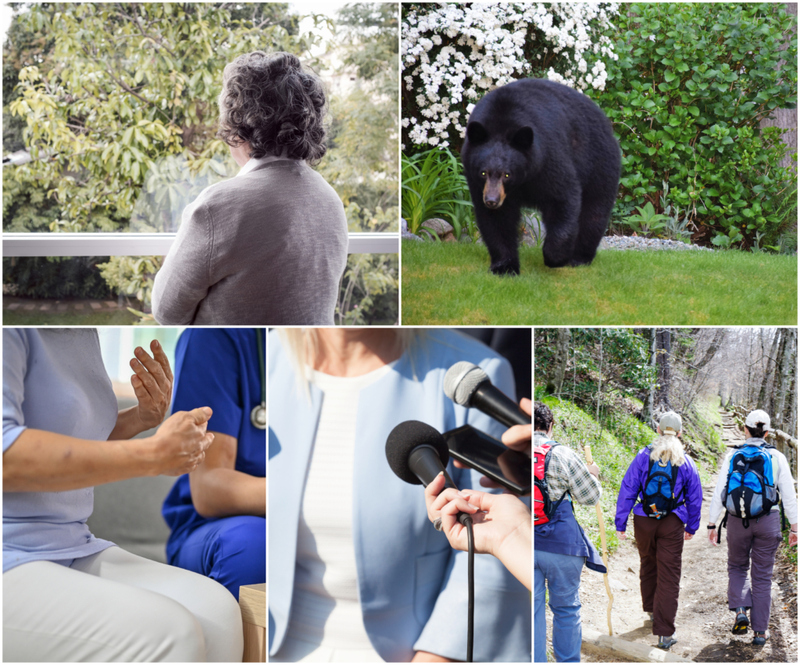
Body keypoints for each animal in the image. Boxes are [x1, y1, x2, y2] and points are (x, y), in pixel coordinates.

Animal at [460, 78, 620, 272]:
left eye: (507, 174)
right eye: (483, 172)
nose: (492, 201)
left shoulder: (548, 158)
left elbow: (562, 198)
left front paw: (556, 257)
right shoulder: (478, 183)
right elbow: (497, 221)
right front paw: (505, 266)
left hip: (599, 162)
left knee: (594, 211)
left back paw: (579, 258)